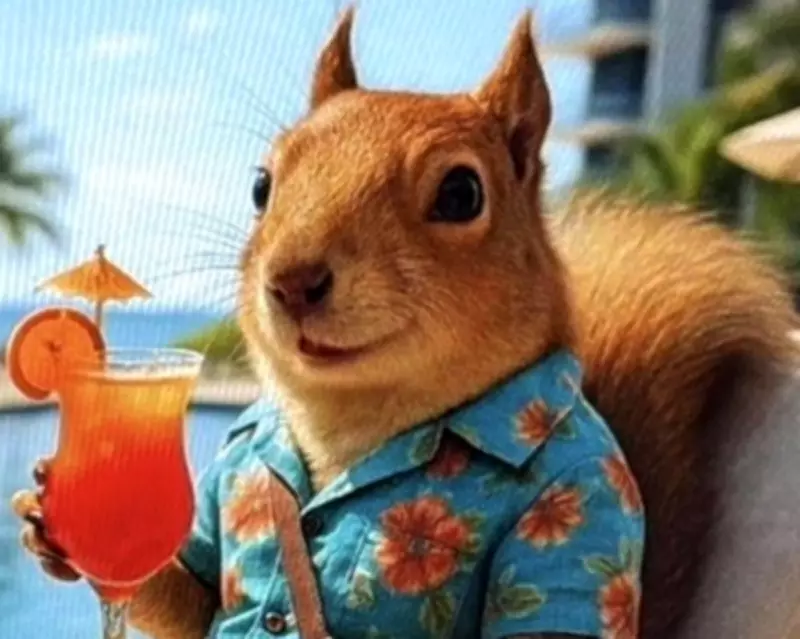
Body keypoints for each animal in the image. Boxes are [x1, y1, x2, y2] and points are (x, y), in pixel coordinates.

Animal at [12, 9, 798, 639]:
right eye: (262, 185)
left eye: (461, 193)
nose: (292, 280)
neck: (346, 430)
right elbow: (187, 598)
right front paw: (51, 517)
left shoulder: (584, 493)